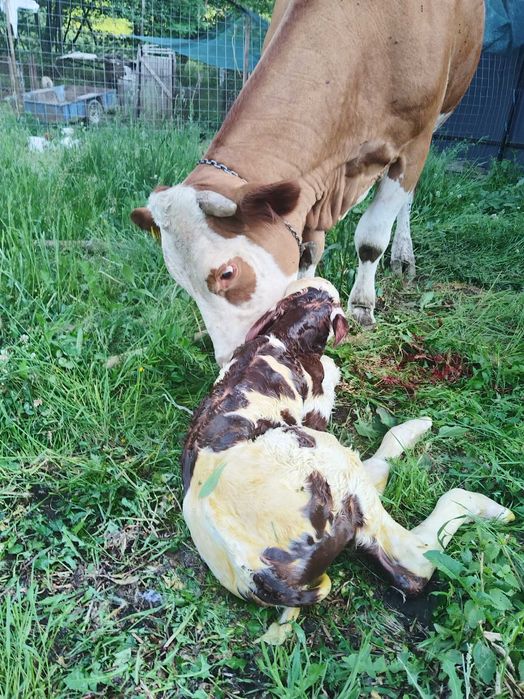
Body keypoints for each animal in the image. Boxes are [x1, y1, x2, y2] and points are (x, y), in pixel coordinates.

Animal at [132, 0, 484, 366]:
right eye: (181, 281)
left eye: (227, 273)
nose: (229, 358)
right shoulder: (313, 184)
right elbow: (308, 250)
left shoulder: (414, 143)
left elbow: (371, 239)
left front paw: (363, 306)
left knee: (406, 201)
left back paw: (403, 255)